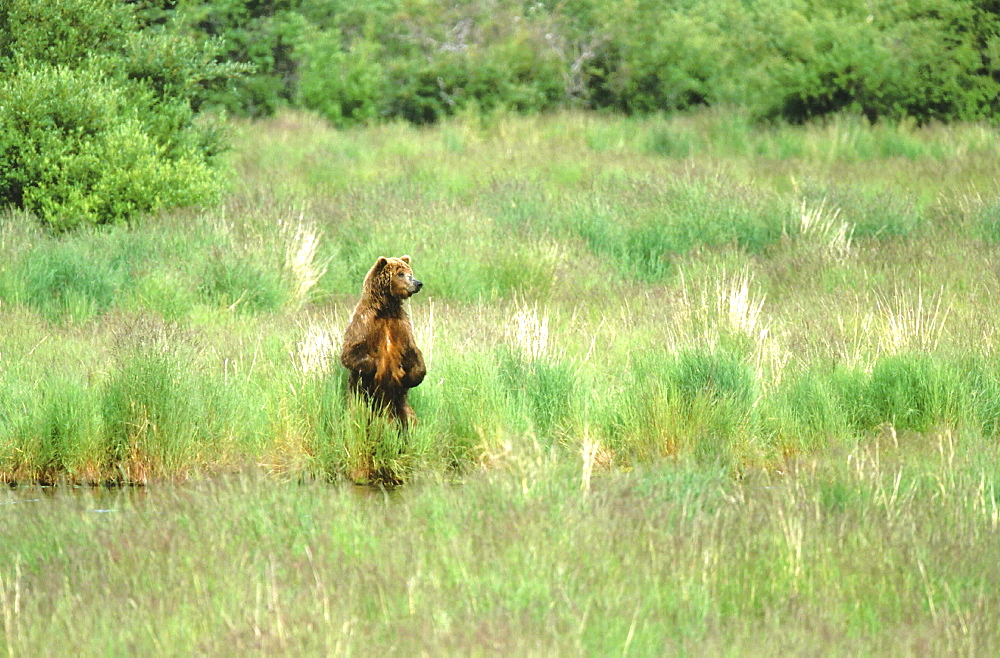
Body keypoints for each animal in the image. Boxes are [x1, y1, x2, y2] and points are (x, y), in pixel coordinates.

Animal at [340, 254, 426, 428]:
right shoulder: (365, 324)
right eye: (400, 274)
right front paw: (379, 368)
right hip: (362, 405)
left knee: (410, 419)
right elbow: (351, 353)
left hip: (402, 407)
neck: (386, 310)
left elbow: (413, 352)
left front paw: (410, 377)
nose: (418, 283)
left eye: (410, 272)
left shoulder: (401, 326)